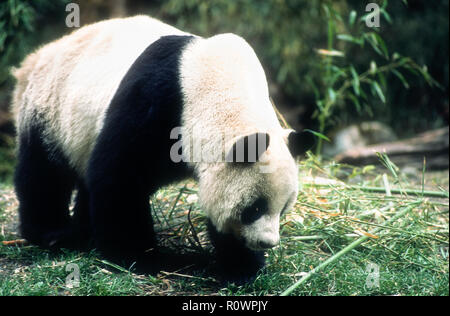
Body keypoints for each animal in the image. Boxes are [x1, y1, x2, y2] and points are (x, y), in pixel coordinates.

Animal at [13, 15, 316, 282]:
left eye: (284, 208)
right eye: (254, 208)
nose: (267, 242)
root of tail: (35, 58)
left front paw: (240, 265)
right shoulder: (156, 103)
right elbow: (119, 177)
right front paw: (139, 257)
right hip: (50, 108)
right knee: (44, 171)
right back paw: (52, 233)